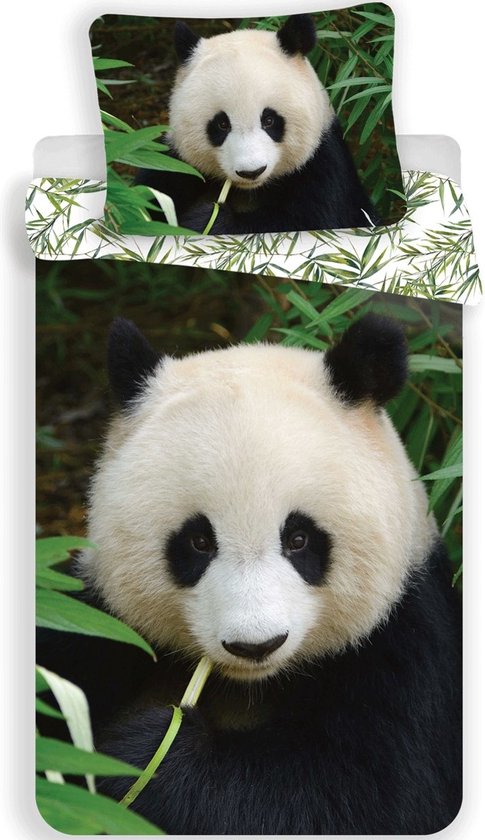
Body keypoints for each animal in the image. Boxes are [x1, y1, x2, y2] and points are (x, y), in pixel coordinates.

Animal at [38, 314, 461, 835]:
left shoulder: (407, 647)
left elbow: (359, 796)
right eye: (199, 541)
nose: (255, 645)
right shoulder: (97, 621)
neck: (248, 684)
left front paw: (145, 756)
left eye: (298, 539)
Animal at [136, 15, 379, 234]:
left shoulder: (323, 167)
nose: (251, 172)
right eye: (222, 124)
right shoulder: (175, 164)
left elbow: (306, 222)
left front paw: (208, 220)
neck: (250, 190)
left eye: (269, 120)